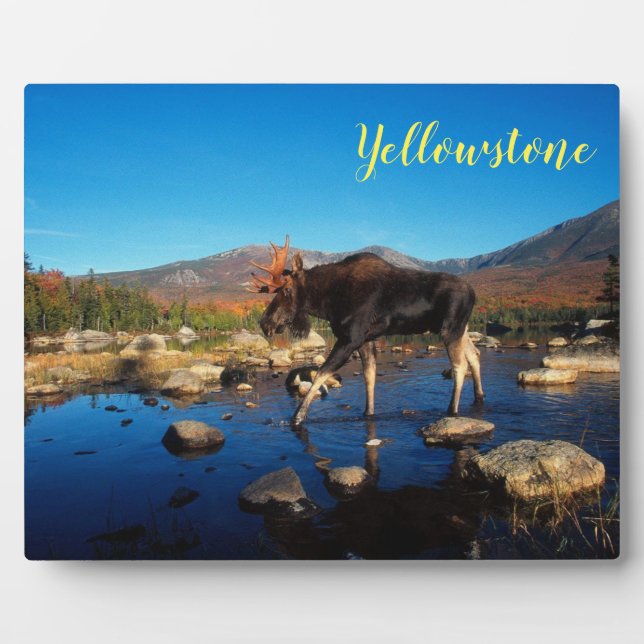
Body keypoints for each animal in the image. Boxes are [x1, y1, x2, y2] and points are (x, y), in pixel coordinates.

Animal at [248, 236, 484, 426]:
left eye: (287, 290)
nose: (265, 323)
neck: (328, 302)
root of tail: (474, 293)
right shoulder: (365, 340)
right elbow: (369, 377)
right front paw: (368, 412)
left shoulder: (350, 338)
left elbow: (321, 374)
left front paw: (298, 416)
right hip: (462, 329)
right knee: (474, 354)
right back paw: (479, 397)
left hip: (450, 329)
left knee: (460, 366)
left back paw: (452, 410)